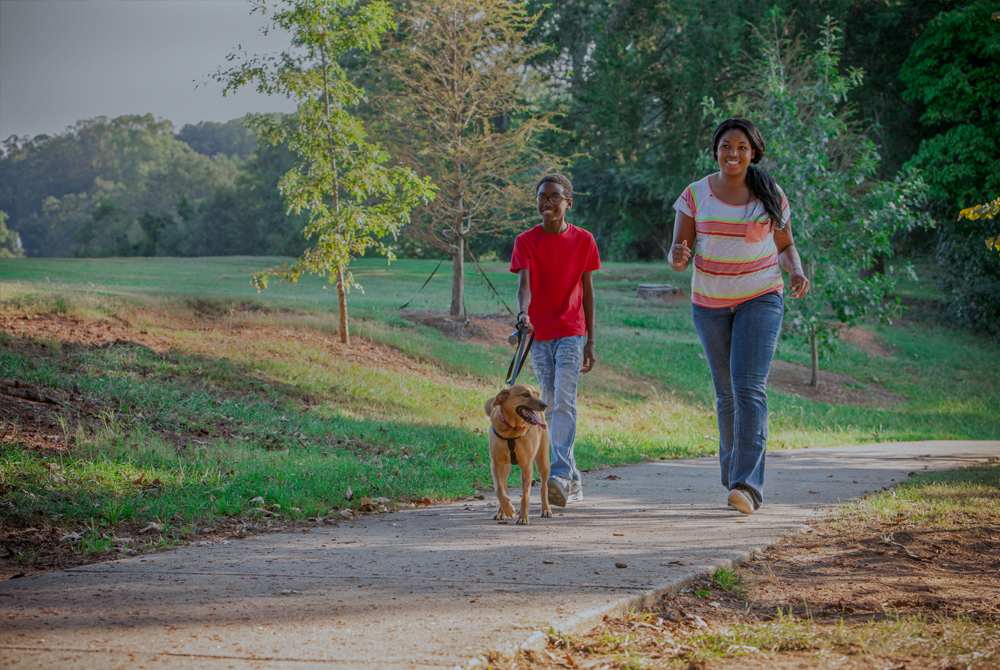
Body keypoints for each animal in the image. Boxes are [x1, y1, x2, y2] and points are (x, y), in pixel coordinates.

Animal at [486, 384, 556, 524]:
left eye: (537, 394)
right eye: (525, 394)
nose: (544, 405)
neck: (512, 430)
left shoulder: (527, 466)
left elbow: (525, 496)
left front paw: (523, 517)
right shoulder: (496, 464)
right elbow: (499, 489)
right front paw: (508, 509)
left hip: (543, 462)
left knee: (544, 487)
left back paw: (546, 509)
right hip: (506, 467)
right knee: (504, 487)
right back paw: (502, 511)